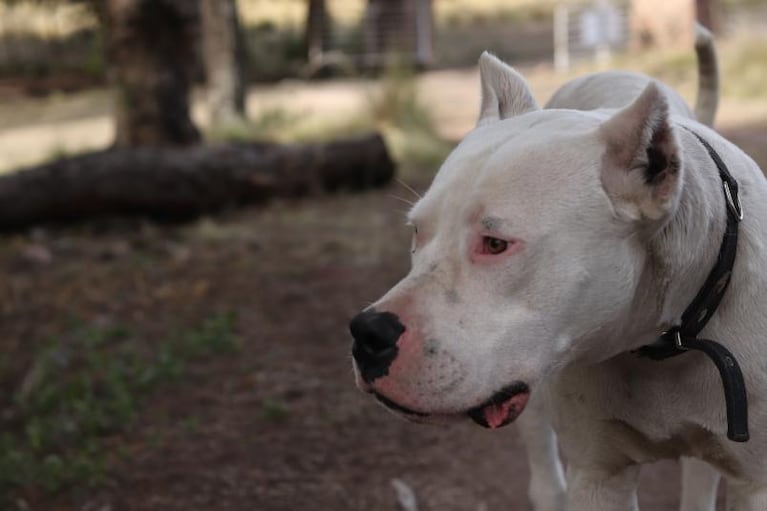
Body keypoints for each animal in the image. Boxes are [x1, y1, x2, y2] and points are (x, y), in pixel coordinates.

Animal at [350, 26, 767, 511]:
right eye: (417, 232)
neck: (665, 340)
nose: (367, 333)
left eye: (495, 244)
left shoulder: (752, 482)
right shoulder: (599, 476)